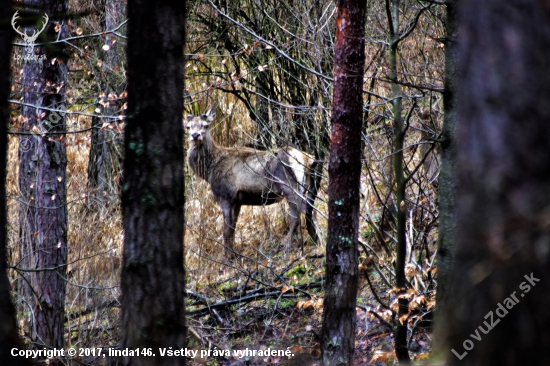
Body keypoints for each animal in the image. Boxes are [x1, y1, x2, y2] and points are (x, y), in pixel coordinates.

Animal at [187, 107, 316, 258]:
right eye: (188, 127)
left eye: (206, 125)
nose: (195, 135)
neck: (209, 170)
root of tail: (307, 159)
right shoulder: (237, 201)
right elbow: (233, 227)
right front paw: (234, 254)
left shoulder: (225, 195)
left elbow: (226, 230)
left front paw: (227, 258)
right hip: (301, 187)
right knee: (302, 213)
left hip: (290, 187)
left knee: (303, 212)